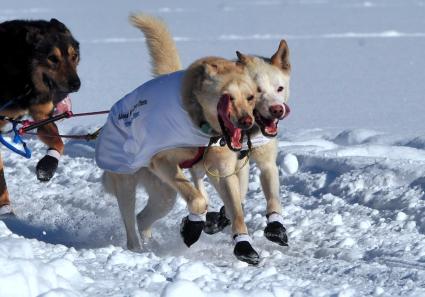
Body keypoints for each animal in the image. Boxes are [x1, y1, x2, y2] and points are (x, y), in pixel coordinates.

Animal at [0, 17, 80, 213]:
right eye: (52, 58)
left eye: (74, 56)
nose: (76, 84)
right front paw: (5, 207)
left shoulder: (43, 116)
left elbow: (58, 141)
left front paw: (47, 166)